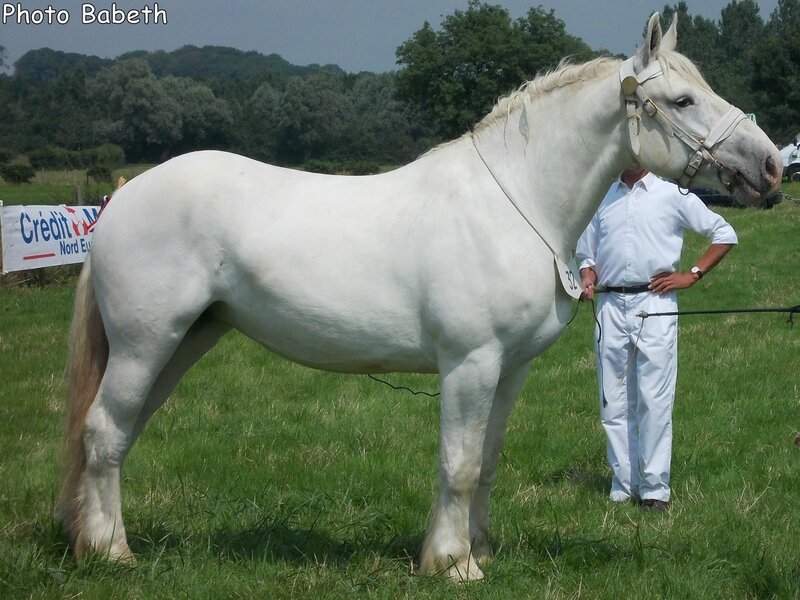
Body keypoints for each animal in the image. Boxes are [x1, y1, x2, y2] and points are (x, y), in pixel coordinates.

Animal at [57, 15, 780, 580]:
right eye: (683, 100)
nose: (771, 166)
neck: (515, 202)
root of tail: (122, 197)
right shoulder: (470, 364)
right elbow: (457, 464)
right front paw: (453, 563)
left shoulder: (510, 370)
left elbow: (484, 462)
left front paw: (478, 548)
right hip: (147, 343)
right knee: (104, 432)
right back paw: (111, 553)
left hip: (185, 340)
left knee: (117, 435)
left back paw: (95, 540)